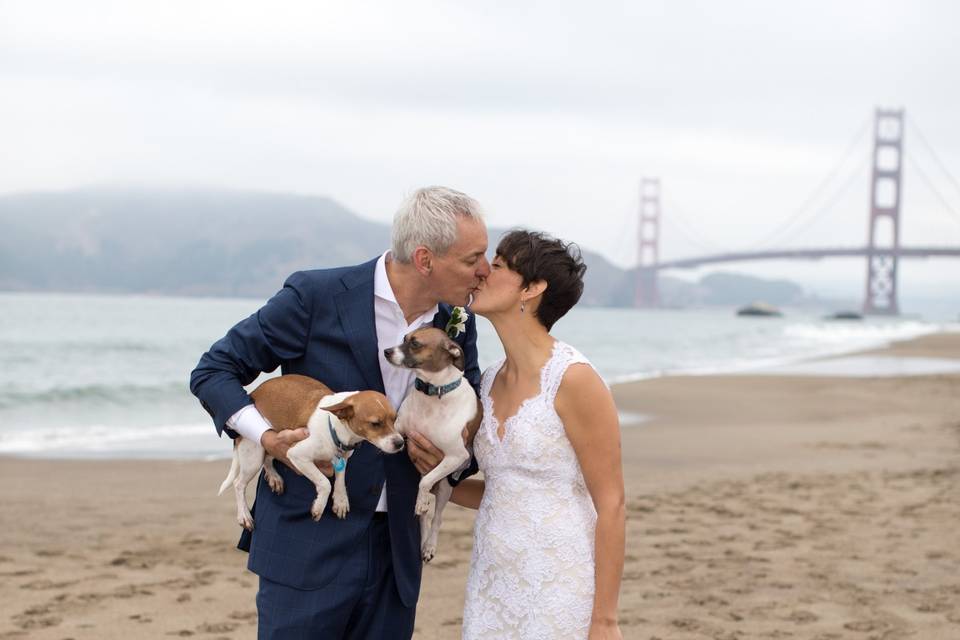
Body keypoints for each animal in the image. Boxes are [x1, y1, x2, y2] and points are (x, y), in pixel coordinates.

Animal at [219, 372, 404, 528]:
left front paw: (340, 499)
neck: (334, 425)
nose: (400, 443)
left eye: (395, 419)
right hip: (254, 455)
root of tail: (253, 394)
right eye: (375, 424)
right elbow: (324, 483)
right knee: (239, 484)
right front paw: (319, 506)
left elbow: (340, 478)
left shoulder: (343, 456)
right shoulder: (296, 455)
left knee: (268, 458)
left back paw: (273, 476)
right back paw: (244, 515)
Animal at [384, 328, 484, 564]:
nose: (386, 351)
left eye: (415, 344)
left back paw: (429, 545)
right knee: (423, 520)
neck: (433, 393)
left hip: (446, 487)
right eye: (404, 339)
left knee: (436, 519)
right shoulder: (399, 431)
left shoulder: (456, 456)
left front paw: (421, 500)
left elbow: (426, 482)